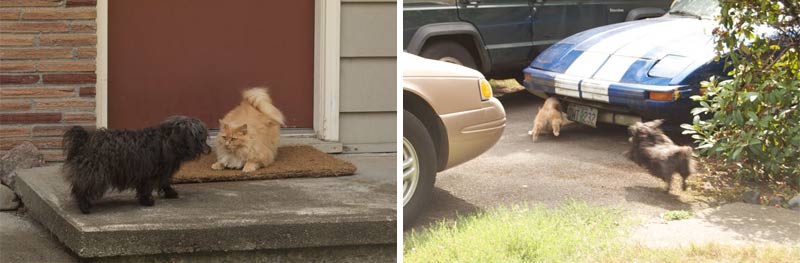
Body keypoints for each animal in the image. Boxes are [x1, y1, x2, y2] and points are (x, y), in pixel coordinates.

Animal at [61, 116, 209, 214]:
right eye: (201, 137)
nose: (209, 149)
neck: (168, 139)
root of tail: (84, 139)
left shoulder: (161, 172)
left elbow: (164, 182)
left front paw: (170, 192)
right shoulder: (149, 173)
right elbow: (147, 188)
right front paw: (147, 201)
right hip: (95, 172)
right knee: (82, 188)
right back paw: (84, 207)